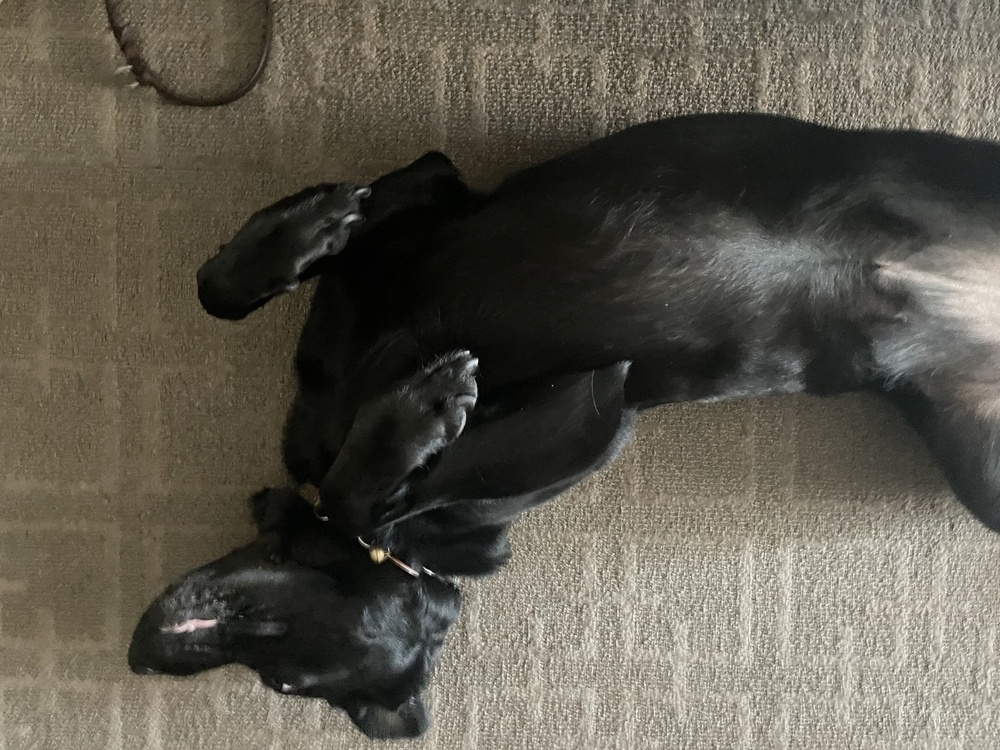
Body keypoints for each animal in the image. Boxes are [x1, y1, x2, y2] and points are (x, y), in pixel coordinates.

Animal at [129, 114, 1000, 744]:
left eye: (289, 681)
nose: (144, 650)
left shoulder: (435, 194)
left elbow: (351, 483)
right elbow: (218, 295)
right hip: (981, 472)